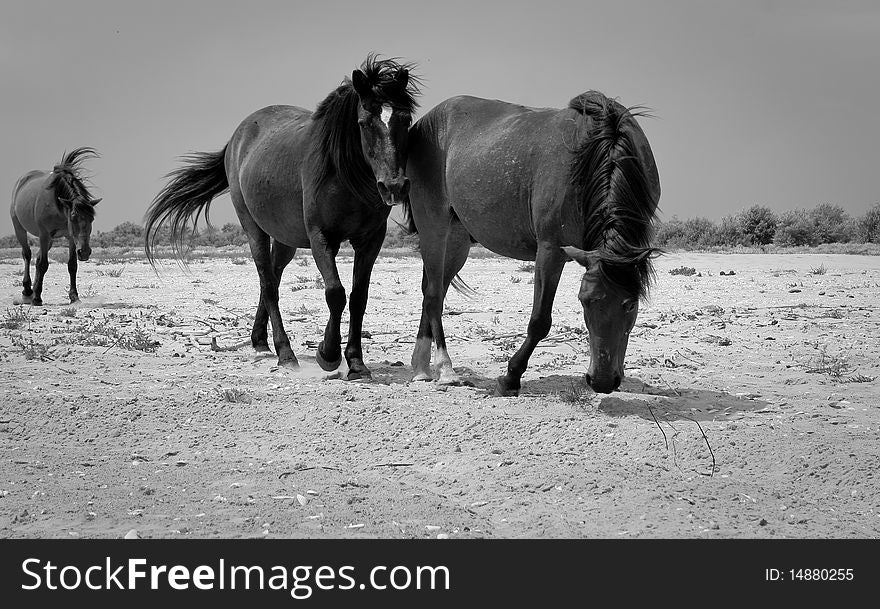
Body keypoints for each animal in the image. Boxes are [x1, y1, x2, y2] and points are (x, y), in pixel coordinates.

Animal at [10, 148, 101, 304]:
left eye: (92, 218)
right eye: (73, 217)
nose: (84, 252)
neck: (58, 205)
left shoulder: (71, 237)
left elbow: (72, 265)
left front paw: (74, 296)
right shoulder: (44, 234)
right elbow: (43, 264)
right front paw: (37, 298)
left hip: (50, 239)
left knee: (38, 258)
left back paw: (34, 290)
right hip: (20, 229)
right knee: (27, 255)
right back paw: (28, 292)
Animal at [144, 58, 420, 380]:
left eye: (405, 120)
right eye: (364, 123)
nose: (394, 186)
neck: (342, 173)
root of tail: (237, 137)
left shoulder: (370, 241)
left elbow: (358, 298)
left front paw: (355, 362)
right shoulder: (321, 237)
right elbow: (335, 293)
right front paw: (327, 354)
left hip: (285, 240)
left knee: (272, 280)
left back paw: (260, 341)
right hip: (255, 231)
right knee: (269, 285)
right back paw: (285, 353)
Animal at [406, 90, 660, 394]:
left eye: (630, 304)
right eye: (584, 301)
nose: (602, 381)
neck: (598, 149)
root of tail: (424, 123)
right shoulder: (550, 250)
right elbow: (540, 321)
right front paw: (510, 377)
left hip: (457, 241)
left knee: (434, 291)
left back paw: (421, 366)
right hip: (433, 225)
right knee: (433, 295)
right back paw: (445, 369)